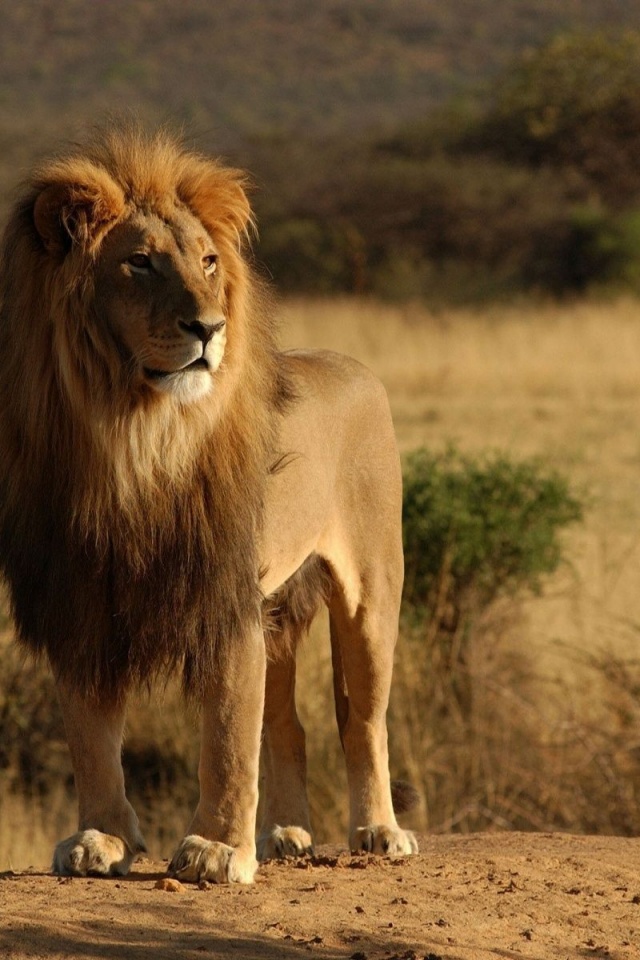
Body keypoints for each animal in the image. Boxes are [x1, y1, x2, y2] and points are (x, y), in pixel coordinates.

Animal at [0, 127, 418, 884]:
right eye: (138, 263)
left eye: (208, 261)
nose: (209, 327)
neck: (132, 437)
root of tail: (354, 365)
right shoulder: (81, 598)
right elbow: (91, 735)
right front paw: (101, 839)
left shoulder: (224, 598)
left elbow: (226, 732)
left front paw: (216, 848)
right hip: (278, 608)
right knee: (287, 725)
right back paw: (286, 834)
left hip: (371, 592)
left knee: (363, 719)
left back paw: (379, 831)